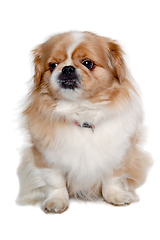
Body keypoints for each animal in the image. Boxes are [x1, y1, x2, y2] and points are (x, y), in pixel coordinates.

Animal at [16, 31, 152, 213]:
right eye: (52, 65)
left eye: (88, 63)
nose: (67, 68)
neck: (81, 113)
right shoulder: (45, 156)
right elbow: (55, 182)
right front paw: (57, 201)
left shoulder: (118, 153)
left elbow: (113, 178)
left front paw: (115, 196)